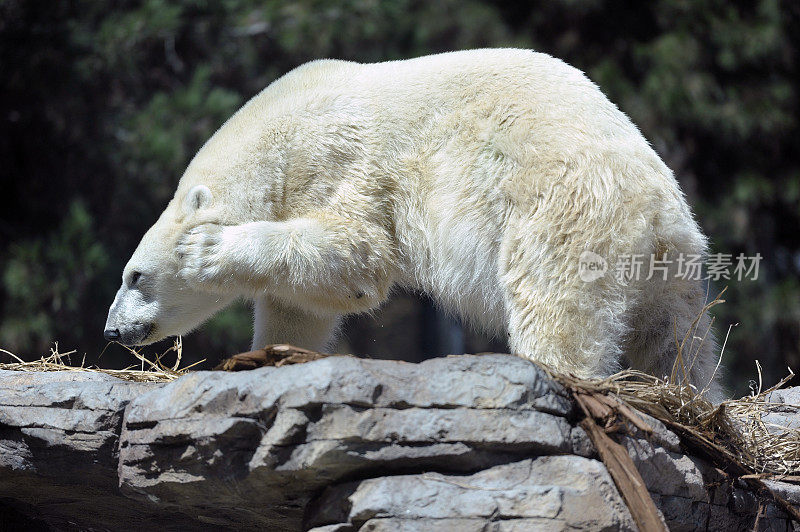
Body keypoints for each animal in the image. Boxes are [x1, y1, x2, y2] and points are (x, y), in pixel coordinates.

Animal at [103, 50, 720, 396]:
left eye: (135, 276)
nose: (112, 331)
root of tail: (658, 210)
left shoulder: (336, 156)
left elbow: (357, 255)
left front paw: (209, 248)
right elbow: (299, 307)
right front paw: (271, 356)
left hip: (562, 209)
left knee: (556, 306)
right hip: (673, 268)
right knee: (677, 341)